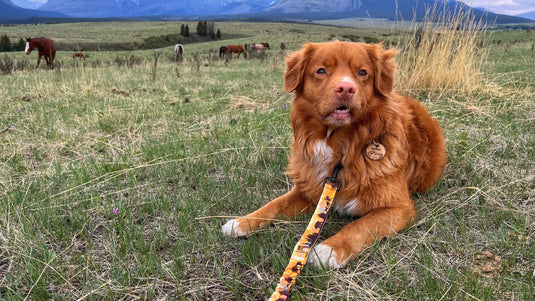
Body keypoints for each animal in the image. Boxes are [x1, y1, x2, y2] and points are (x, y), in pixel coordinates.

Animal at [222, 39, 448, 268]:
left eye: (362, 72)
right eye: (321, 70)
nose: (346, 88)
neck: (341, 146)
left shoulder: (399, 208)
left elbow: (359, 226)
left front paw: (329, 249)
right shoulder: (309, 188)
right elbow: (274, 204)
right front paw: (242, 222)